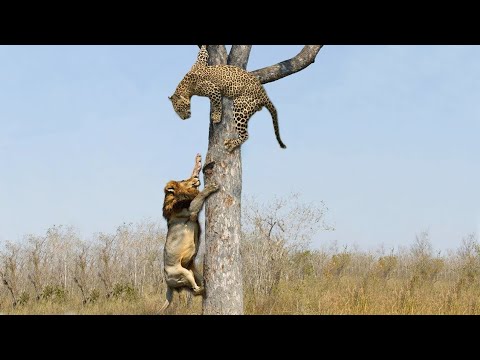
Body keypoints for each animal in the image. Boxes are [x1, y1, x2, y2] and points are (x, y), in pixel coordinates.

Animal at [159, 153, 219, 312]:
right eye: (183, 180)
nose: (196, 178)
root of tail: (167, 284)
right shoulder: (191, 210)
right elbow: (199, 195)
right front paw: (211, 187)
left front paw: (198, 162)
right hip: (182, 273)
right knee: (195, 290)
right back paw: (204, 289)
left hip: (192, 270)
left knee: (195, 288)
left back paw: (204, 285)